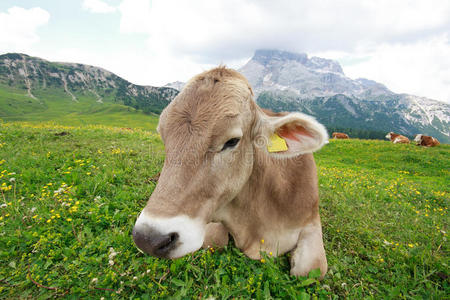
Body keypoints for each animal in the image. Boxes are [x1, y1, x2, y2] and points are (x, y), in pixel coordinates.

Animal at [132, 67, 328, 278]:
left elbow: (311, 268)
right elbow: (214, 240)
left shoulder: (311, 219)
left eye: (232, 141)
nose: (148, 238)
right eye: (163, 136)